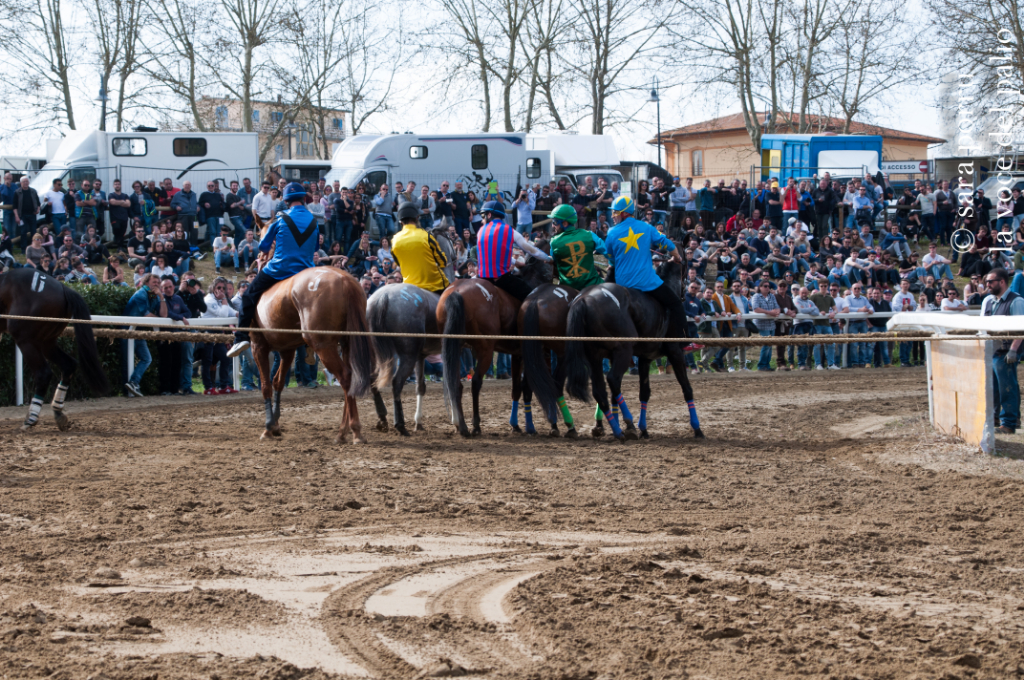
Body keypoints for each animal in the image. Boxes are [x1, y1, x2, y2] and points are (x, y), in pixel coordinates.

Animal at [0, 266, 110, 430]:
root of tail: (62, 287)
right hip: (47, 341)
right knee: (68, 365)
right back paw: (57, 411)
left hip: (26, 340)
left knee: (43, 373)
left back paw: (31, 418)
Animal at [364, 225, 452, 432]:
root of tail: (383, 297)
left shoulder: (421, 355)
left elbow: (421, 386)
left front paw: (418, 421)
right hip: (407, 354)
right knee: (396, 382)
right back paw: (400, 424)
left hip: (377, 351)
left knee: (372, 379)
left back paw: (383, 417)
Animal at [561, 259, 704, 440]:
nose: (690, 288)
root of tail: (584, 299)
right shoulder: (675, 352)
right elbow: (687, 388)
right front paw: (697, 428)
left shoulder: (644, 358)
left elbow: (644, 392)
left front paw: (644, 429)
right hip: (623, 350)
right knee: (613, 379)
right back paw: (627, 424)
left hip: (595, 356)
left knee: (600, 391)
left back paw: (617, 429)